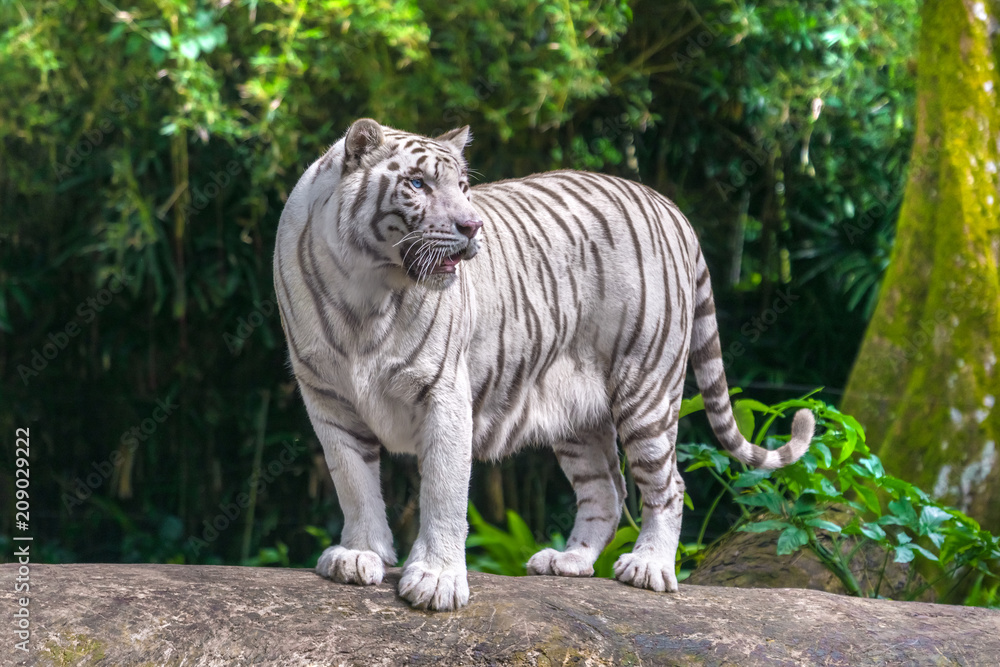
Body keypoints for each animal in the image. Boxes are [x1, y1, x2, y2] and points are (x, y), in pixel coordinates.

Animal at [273, 118, 815, 611]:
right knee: (607, 489)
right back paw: (569, 561)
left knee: (669, 485)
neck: (367, 291)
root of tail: (670, 207)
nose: (472, 226)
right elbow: (355, 483)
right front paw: (359, 555)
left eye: (462, 187)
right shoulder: (329, 400)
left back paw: (650, 566)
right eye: (418, 184)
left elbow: (444, 491)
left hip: (648, 387)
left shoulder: (444, 395)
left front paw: (437, 579)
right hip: (578, 417)